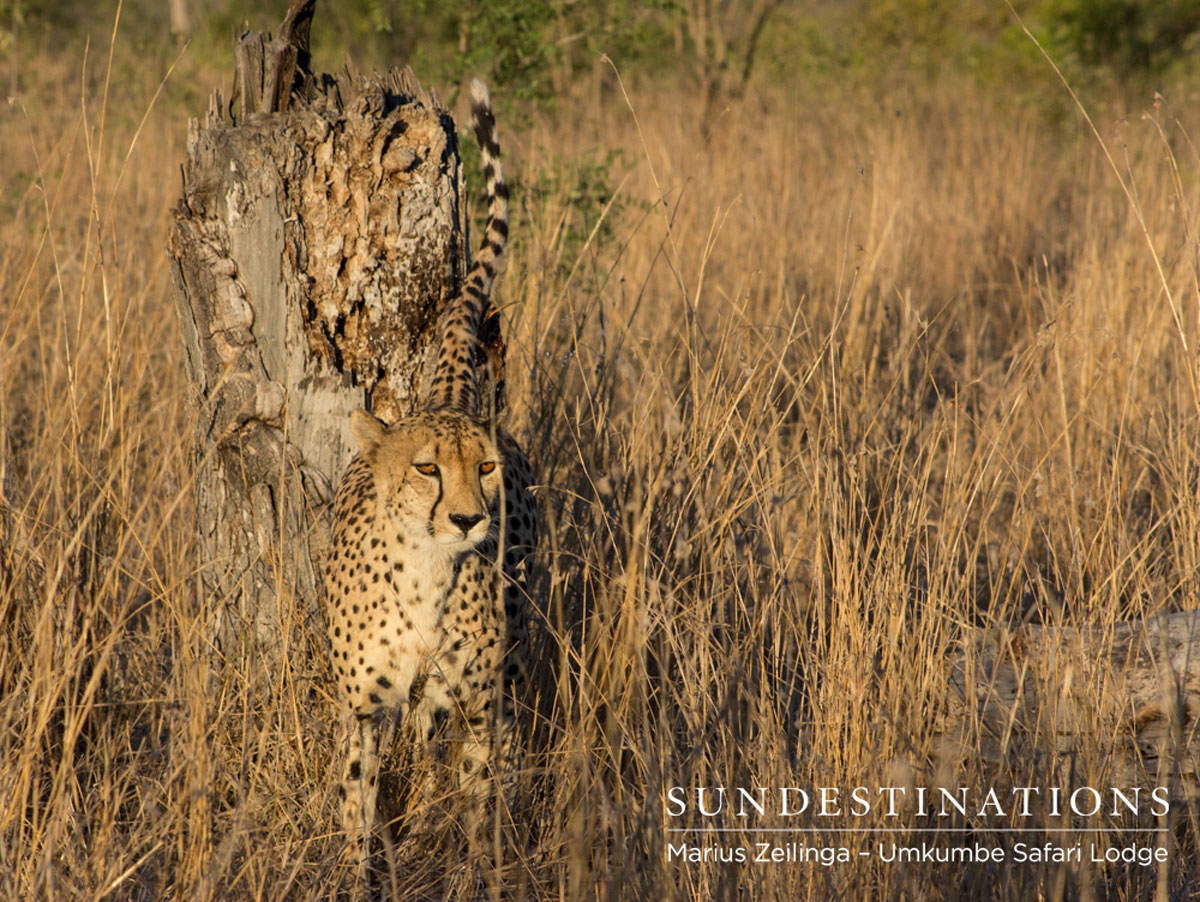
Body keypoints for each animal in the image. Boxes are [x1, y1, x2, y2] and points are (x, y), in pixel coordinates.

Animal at [322, 79, 538, 888]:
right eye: (426, 470)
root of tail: (444, 392)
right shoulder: (363, 708)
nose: (470, 520)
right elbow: (357, 803)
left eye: (484, 469)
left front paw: (480, 874)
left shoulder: (478, 703)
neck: (423, 576)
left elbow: (479, 803)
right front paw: (353, 878)